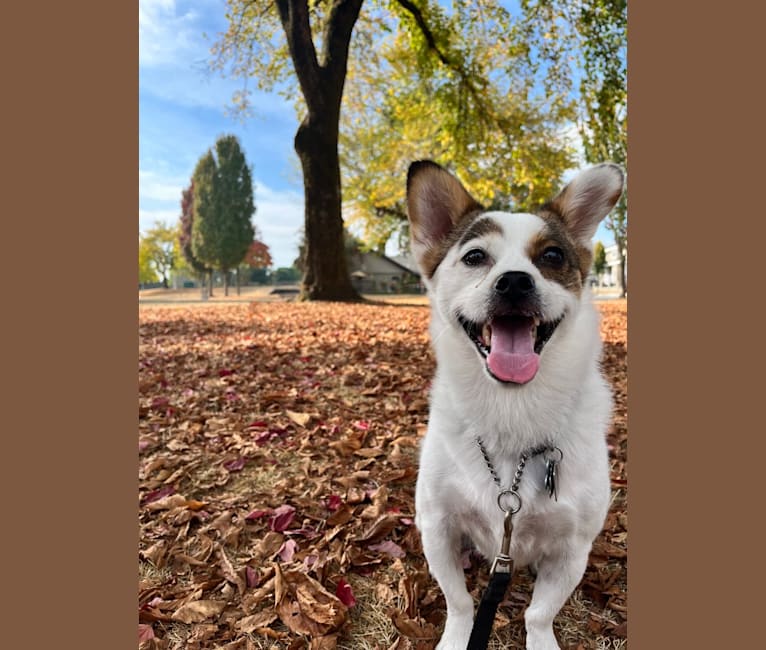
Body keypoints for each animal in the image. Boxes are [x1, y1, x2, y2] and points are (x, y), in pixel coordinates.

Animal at [408, 158, 624, 648]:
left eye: (552, 257)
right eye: (474, 257)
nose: (514, 283)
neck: (511, 408)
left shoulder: (573, 549)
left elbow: (539, 613)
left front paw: (541, 640)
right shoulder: (438, 528)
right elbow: (460, 602)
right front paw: (456, 637)